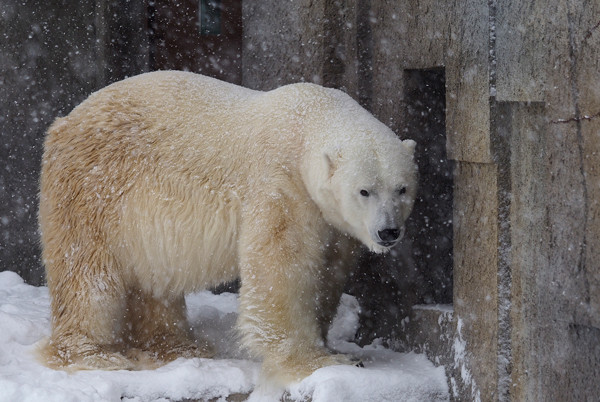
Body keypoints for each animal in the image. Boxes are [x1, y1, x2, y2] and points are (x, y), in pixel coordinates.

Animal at [38, 71, 418, 384]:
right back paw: (95, 355)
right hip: (94, 189)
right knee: (87, 275)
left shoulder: (331, 219)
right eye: (364, 190)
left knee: (153, 279)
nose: (388, 232)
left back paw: (178, 346)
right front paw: (316, 362)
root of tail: (64, 121)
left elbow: (329, 270)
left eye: (402, 188)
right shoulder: (281, 184)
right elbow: (282, 267)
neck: (307, 119)